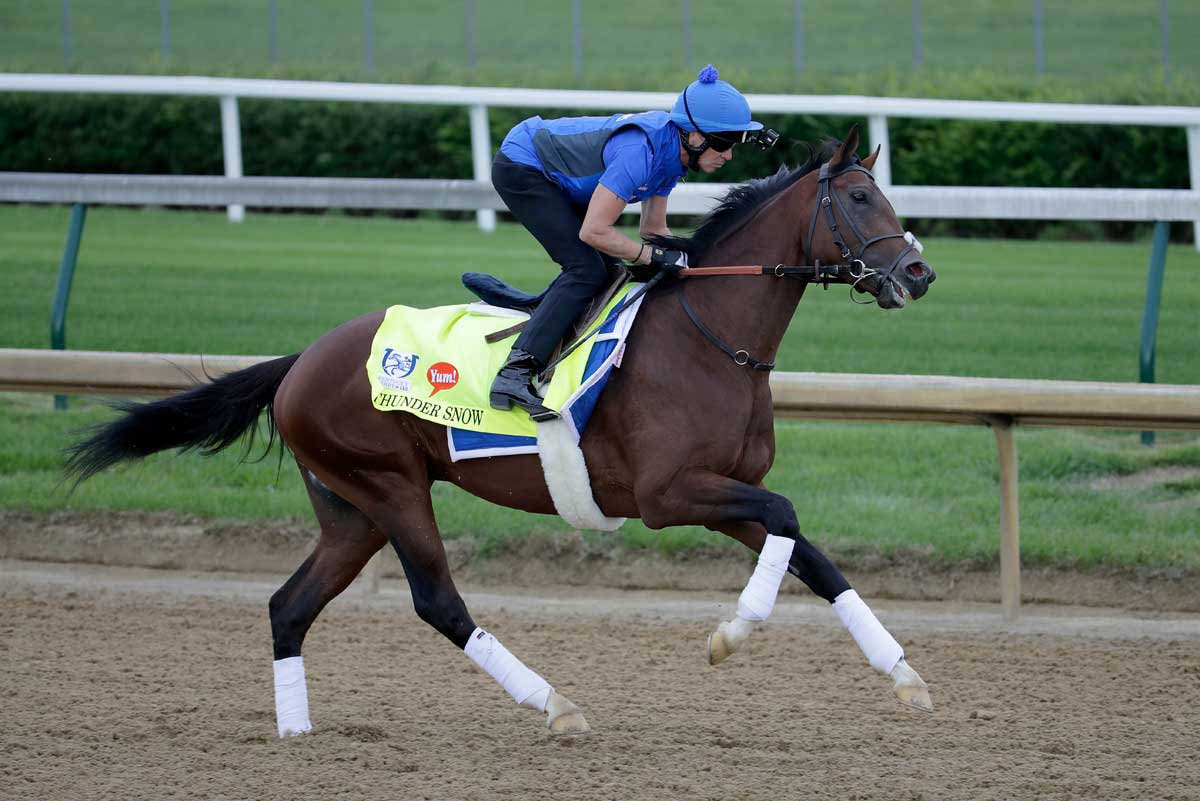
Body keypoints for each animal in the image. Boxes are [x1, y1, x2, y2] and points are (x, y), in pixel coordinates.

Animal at [68, 126, 936, 738]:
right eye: (860, 198)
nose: (919, 272)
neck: (707, 337)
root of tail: (298, 363)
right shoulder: (671, 494)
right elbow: (789, 521)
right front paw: (730, 634)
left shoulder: (730, 490)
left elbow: (811, 555)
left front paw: (904, 675)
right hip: (391, 487)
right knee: (437, 602)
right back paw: (556, 704)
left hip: (350, 509)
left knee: (289, 605)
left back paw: (297, 730)